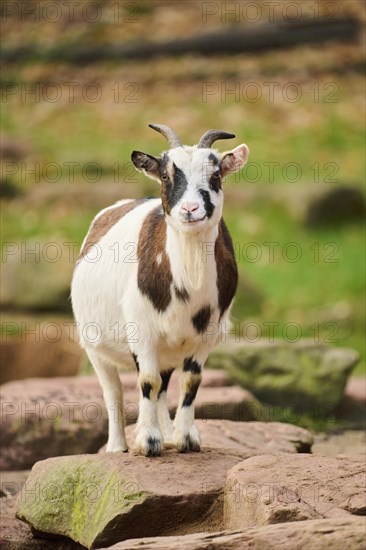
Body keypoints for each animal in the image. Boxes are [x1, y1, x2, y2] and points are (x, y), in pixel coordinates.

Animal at [71, 125, 249, 458]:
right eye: (166, 176)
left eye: (216, 174)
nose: (190, 209)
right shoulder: (141, 329)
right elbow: (147, 382)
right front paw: (148, 441)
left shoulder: (207, 333)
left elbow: (190, 381)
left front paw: (186, 439)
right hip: (94, 345)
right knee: (114, 390)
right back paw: (118, 447)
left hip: (167, 348)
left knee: (165, 384)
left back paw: (167, 433)